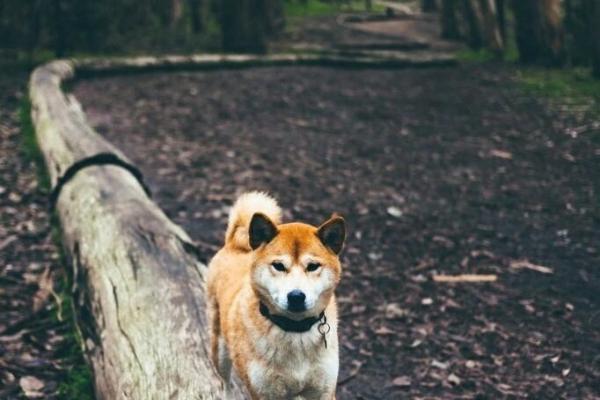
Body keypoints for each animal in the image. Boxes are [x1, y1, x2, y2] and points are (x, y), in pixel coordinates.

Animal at [207, 192, 344, 398]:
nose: (296, 296)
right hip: (221, 351)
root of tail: (233, 245)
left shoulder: (323, 391)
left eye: (313, 266)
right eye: (278, 266)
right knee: (226, 384)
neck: (295, 331)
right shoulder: (264, 393)